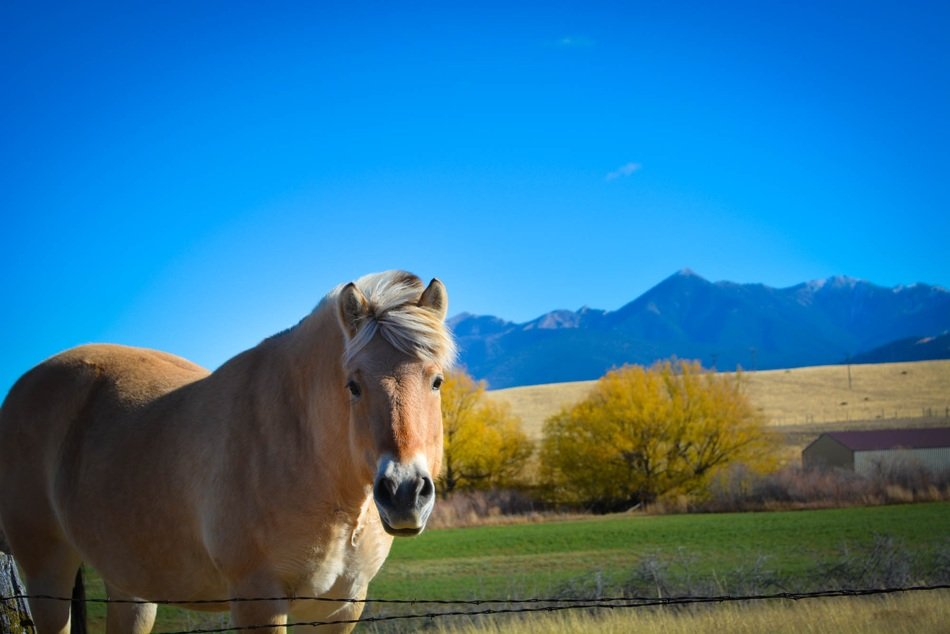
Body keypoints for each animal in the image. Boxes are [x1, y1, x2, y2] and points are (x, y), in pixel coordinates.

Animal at [0, 270, 456, 634]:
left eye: (436, 381)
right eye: (354, 385)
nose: (404, 493)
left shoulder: (340, 609)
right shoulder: (258, 602)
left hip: (129, 584)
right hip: (47, 570)